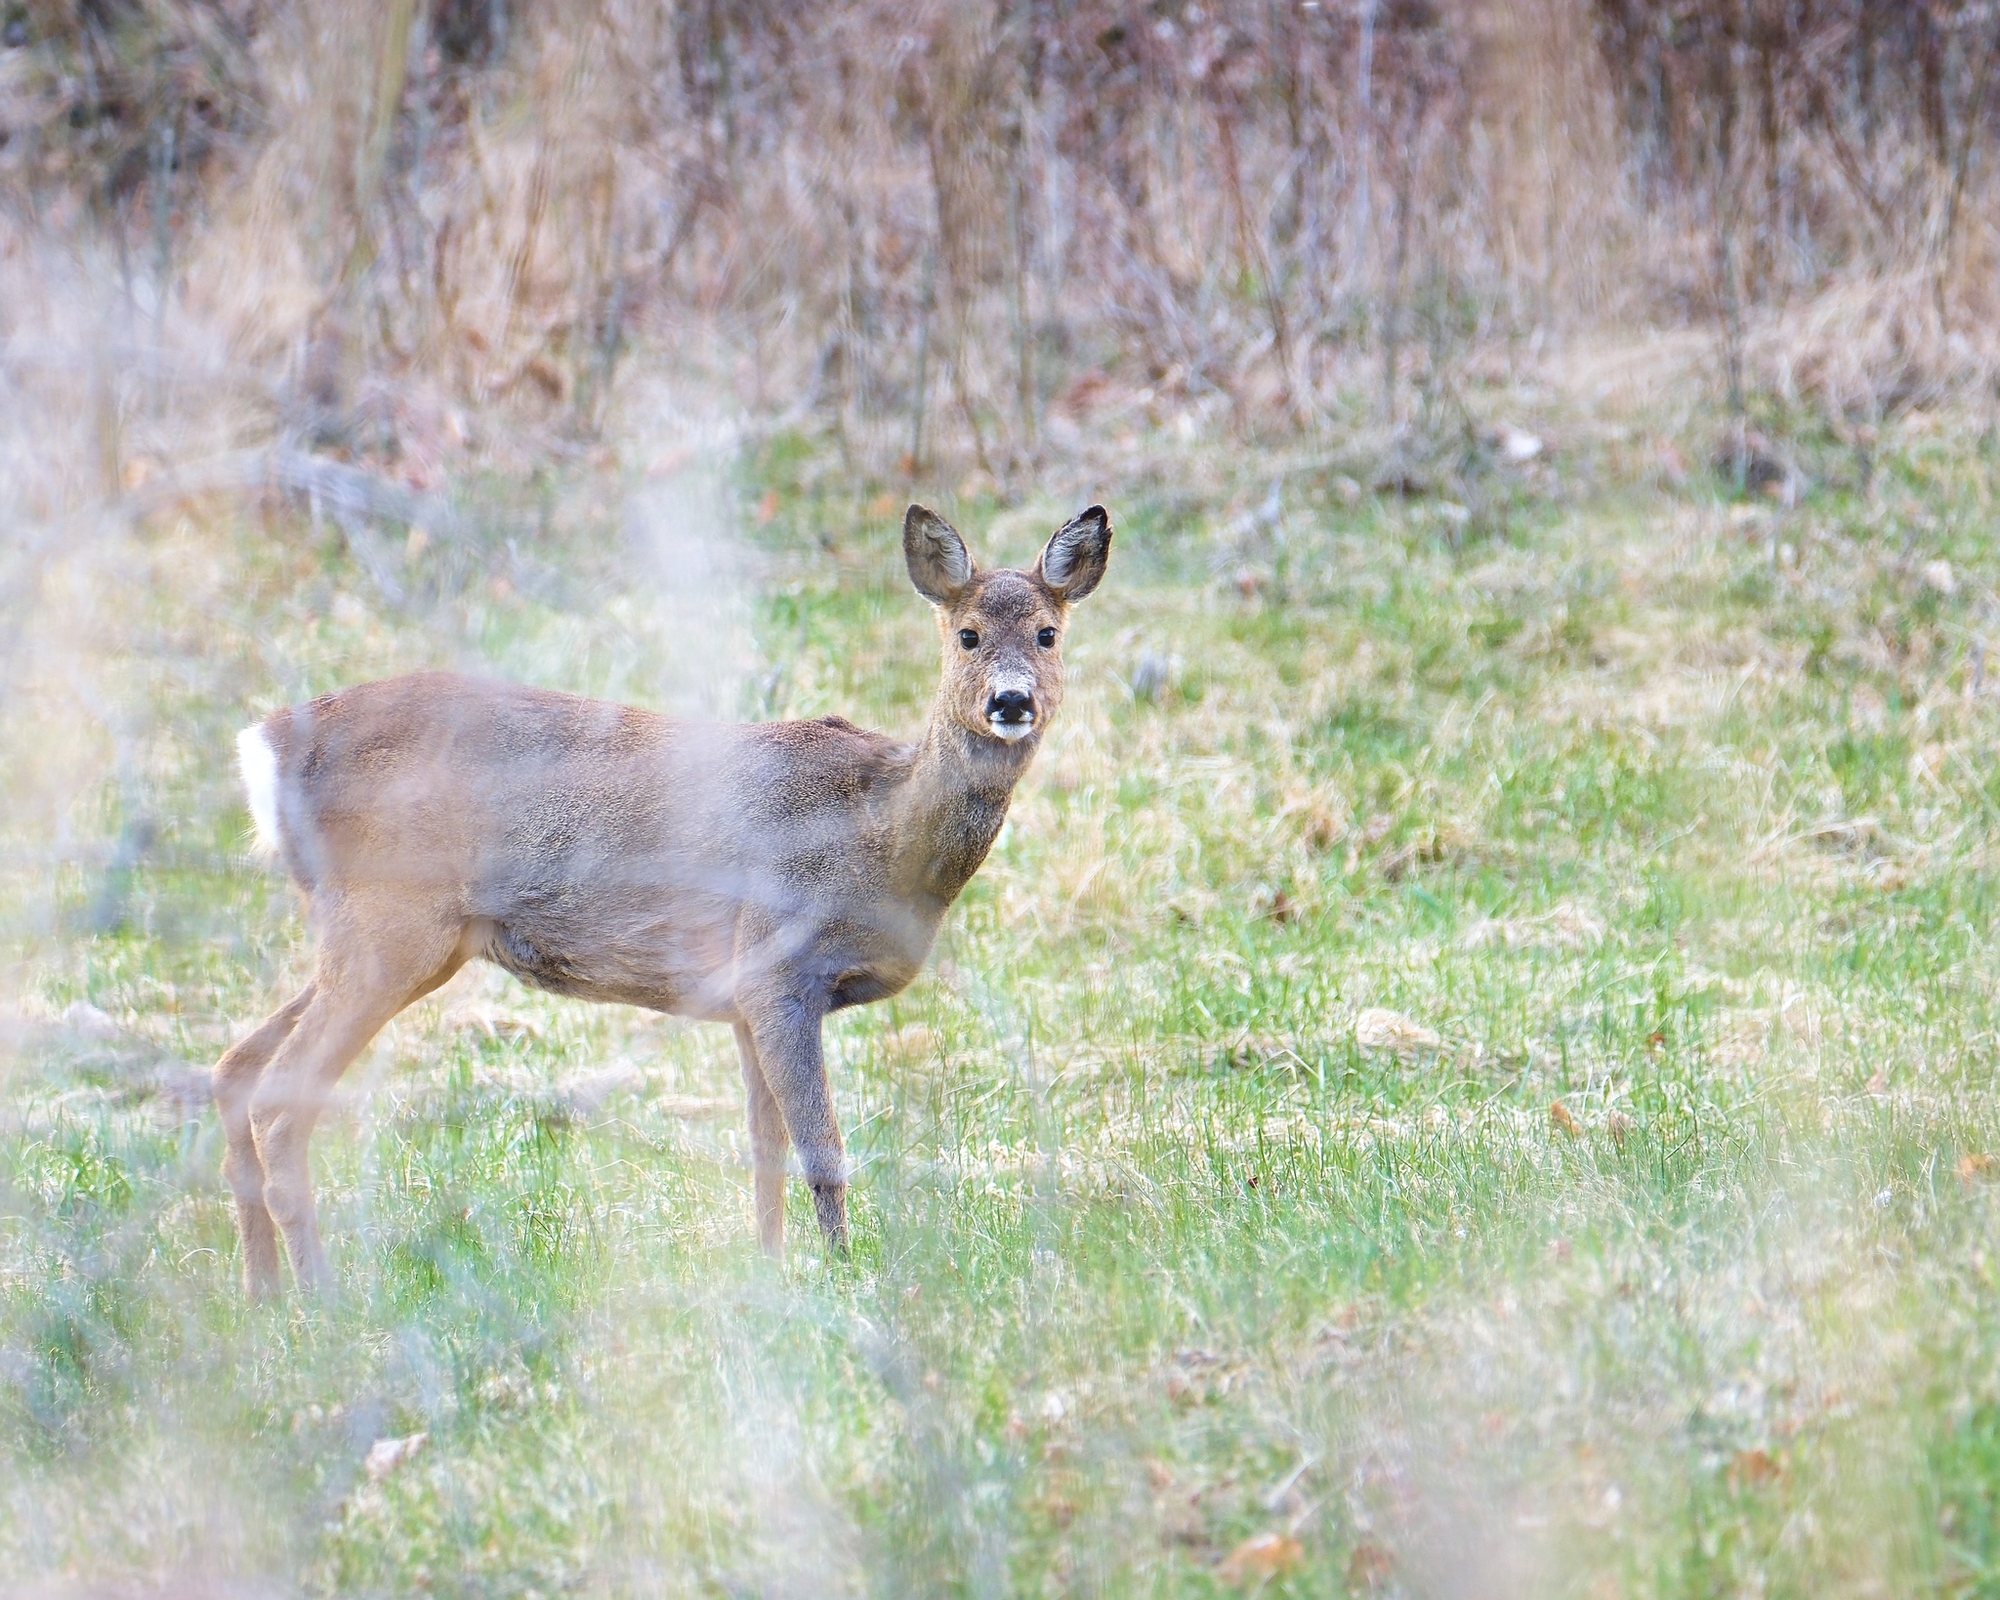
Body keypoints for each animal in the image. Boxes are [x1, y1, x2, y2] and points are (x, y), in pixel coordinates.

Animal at [215, 506, 1112, 1296]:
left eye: (1048, 633)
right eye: (966, 635)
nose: (1010, 701)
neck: (883, 838)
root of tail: (268, 746)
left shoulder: (748, 998)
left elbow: (763, 1148)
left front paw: (769, 1273)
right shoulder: (778, 968)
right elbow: (821, 1148)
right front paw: (846, 1277)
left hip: (382, 934)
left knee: (236, 1065)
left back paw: (262, 1292)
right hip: (392, 919)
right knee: (281, 1100)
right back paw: (325, 1296)